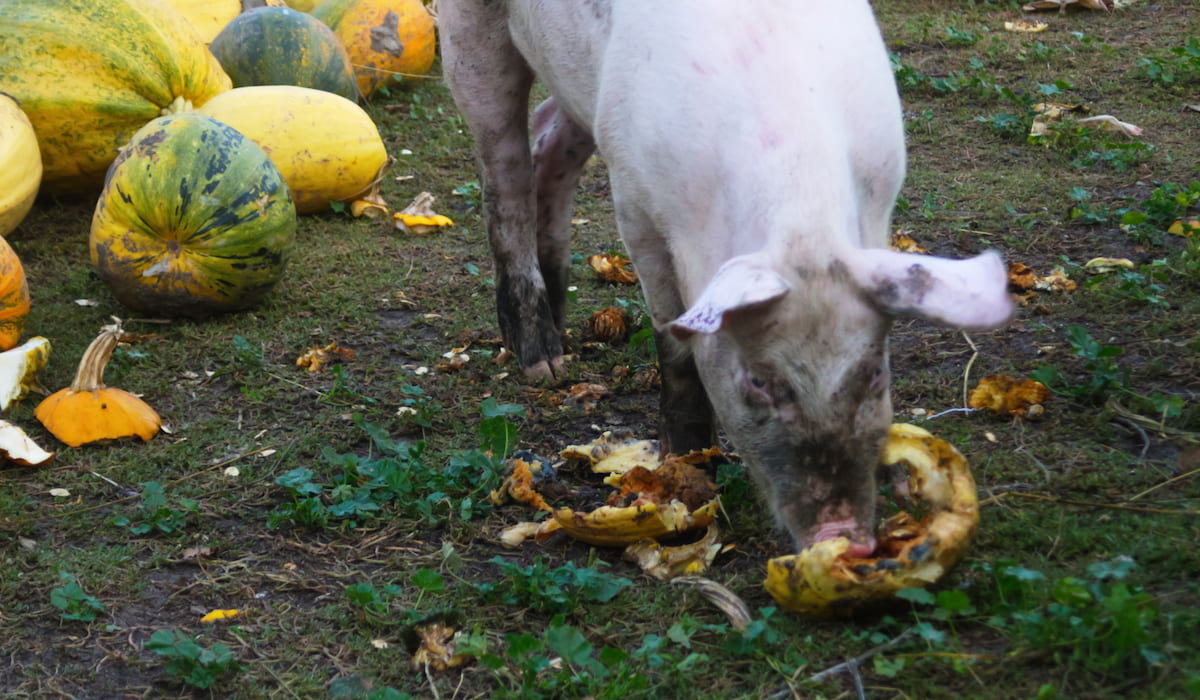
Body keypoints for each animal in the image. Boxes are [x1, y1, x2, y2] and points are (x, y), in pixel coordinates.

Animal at [438, 0, 1013, 556]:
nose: (844, 537)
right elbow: (673, 337)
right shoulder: (636, 207)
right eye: (758, 382)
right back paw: (544, 365)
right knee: (504, 170)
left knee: (551, 137)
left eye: (874, 374)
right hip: (470, 37)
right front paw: (687, 465)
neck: (801, 220)